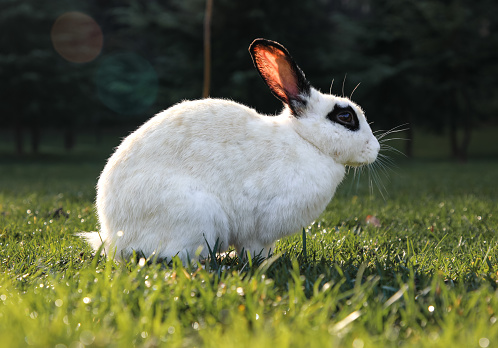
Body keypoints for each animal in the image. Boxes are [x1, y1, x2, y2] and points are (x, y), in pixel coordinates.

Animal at [80, 38, 378, 260]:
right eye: (345, 117)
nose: (374, 149)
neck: (306, 140)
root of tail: (114, 236)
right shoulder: (258, 229)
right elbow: (255, 250)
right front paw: (264, 263)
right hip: (196, 216)